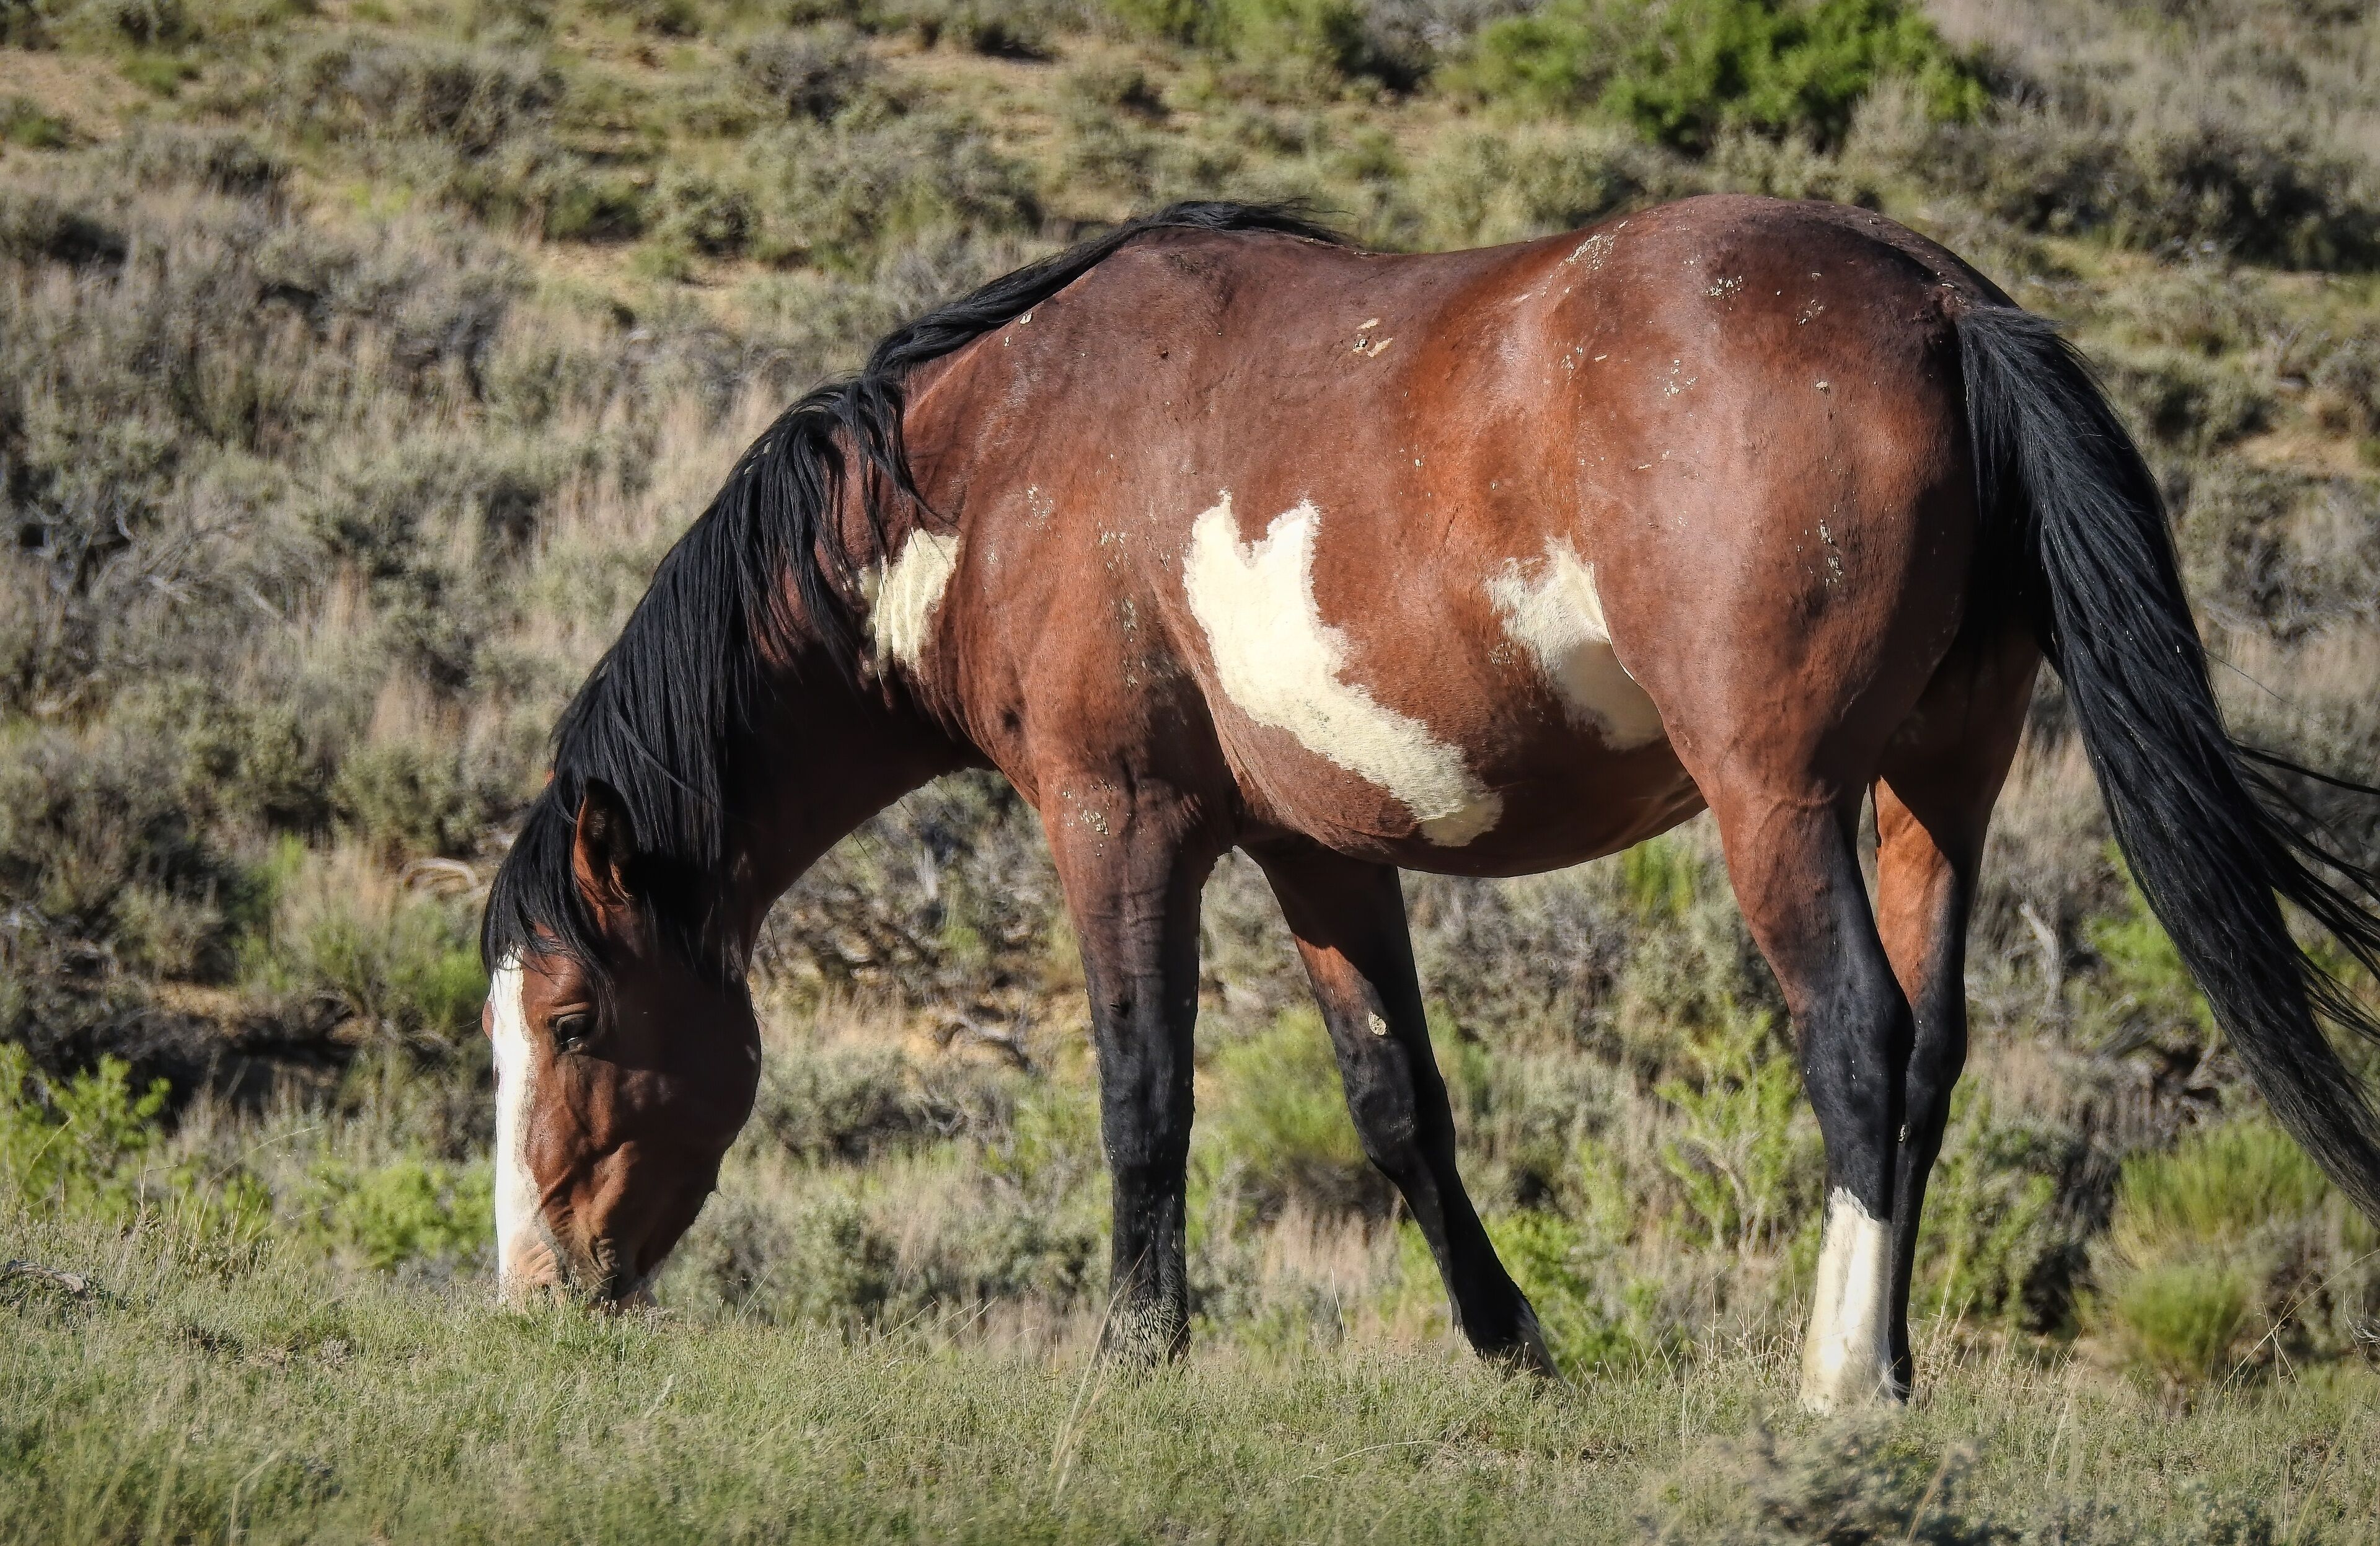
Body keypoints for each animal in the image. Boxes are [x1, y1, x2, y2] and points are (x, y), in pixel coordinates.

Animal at [480, 196, 2380, 1410]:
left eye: (572, 1021)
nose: (534, 1293)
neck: (998, 453)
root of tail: (1933, 298)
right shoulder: (1319, 854)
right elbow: (1399, 1106)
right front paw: (1513, 1345)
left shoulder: (1119, 822)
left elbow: (1142, 1097)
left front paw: (1136, 1350)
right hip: (1938, 785)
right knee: (1925, 1065)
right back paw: (1893, 1363)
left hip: (1780, 803)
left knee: (1856, 1038)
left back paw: (1838, 1385)